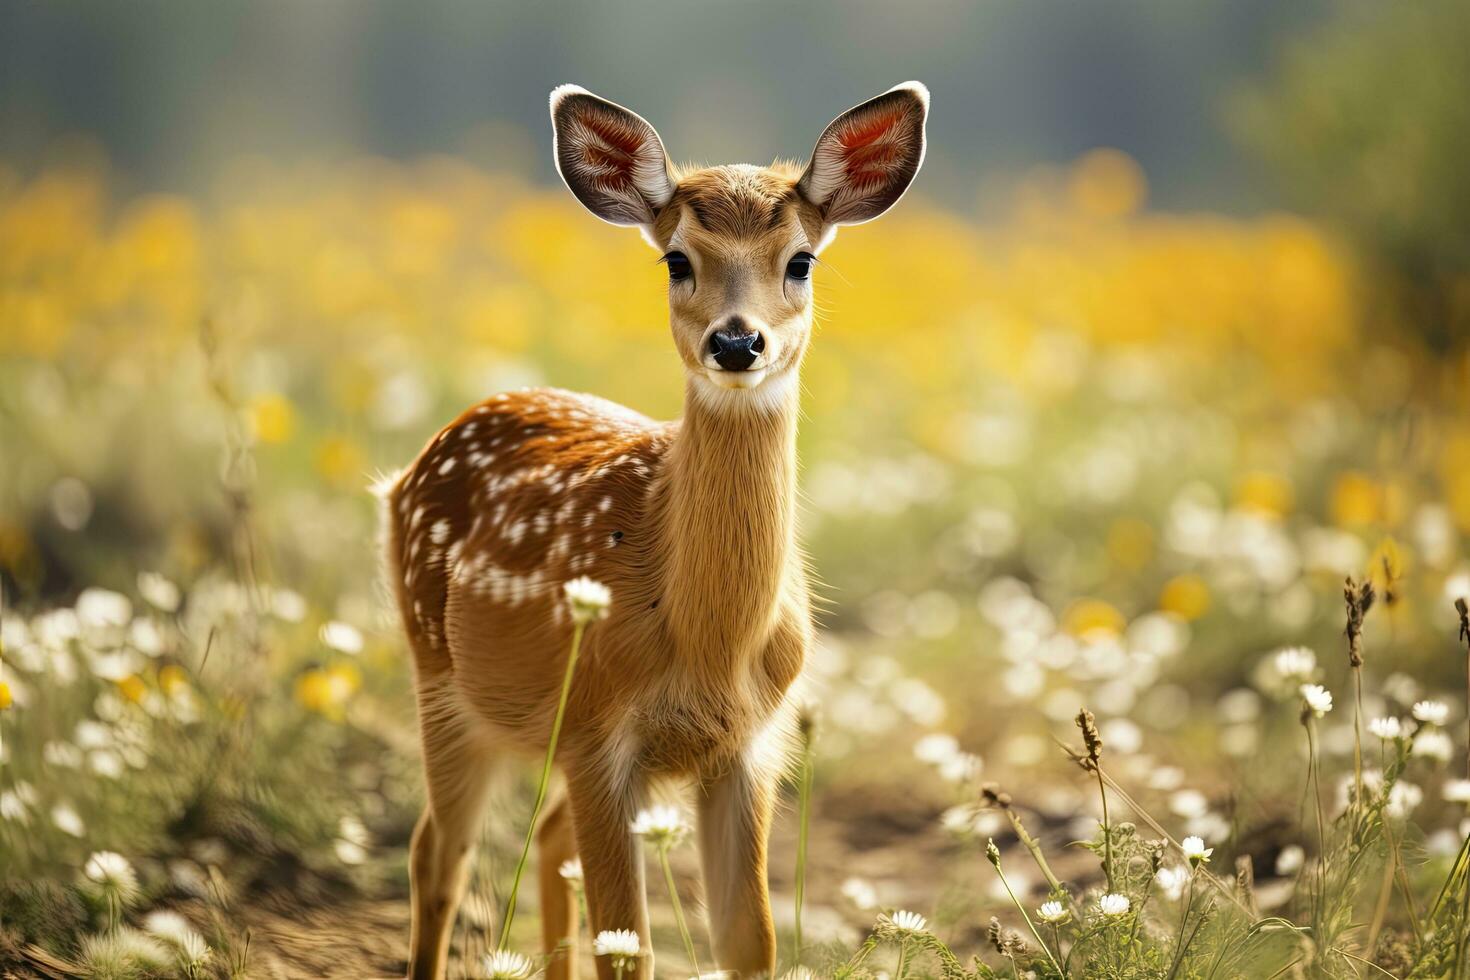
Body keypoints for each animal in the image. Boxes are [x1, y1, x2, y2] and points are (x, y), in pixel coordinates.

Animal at [382, 80, 929, 975]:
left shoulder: (749, 747)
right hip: (441, 676)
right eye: (677, 259)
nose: (737, 341)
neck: (708, 642)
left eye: (801, 261)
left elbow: (748, 941)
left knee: (543, 839)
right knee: (439, 854)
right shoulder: (596, 730)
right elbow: (629, 948)